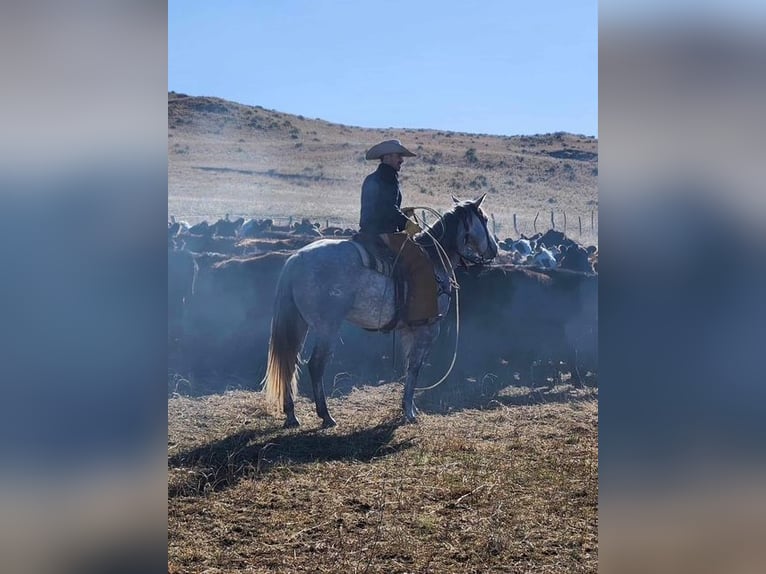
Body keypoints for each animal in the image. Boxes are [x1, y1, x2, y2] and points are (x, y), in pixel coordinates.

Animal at [264, 197, 504, 428]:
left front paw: (409, 408)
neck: (435, 258)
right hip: (327, 327)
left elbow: (408, 367)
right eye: (484, 219)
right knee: (315, 365)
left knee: (290, 363)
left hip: (300, 324)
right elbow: (415, 367)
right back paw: (326, 416)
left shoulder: (409, 329)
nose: (494, 249)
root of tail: (296, 259)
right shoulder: (427, 329)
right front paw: (409, 412)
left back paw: (291, 415)